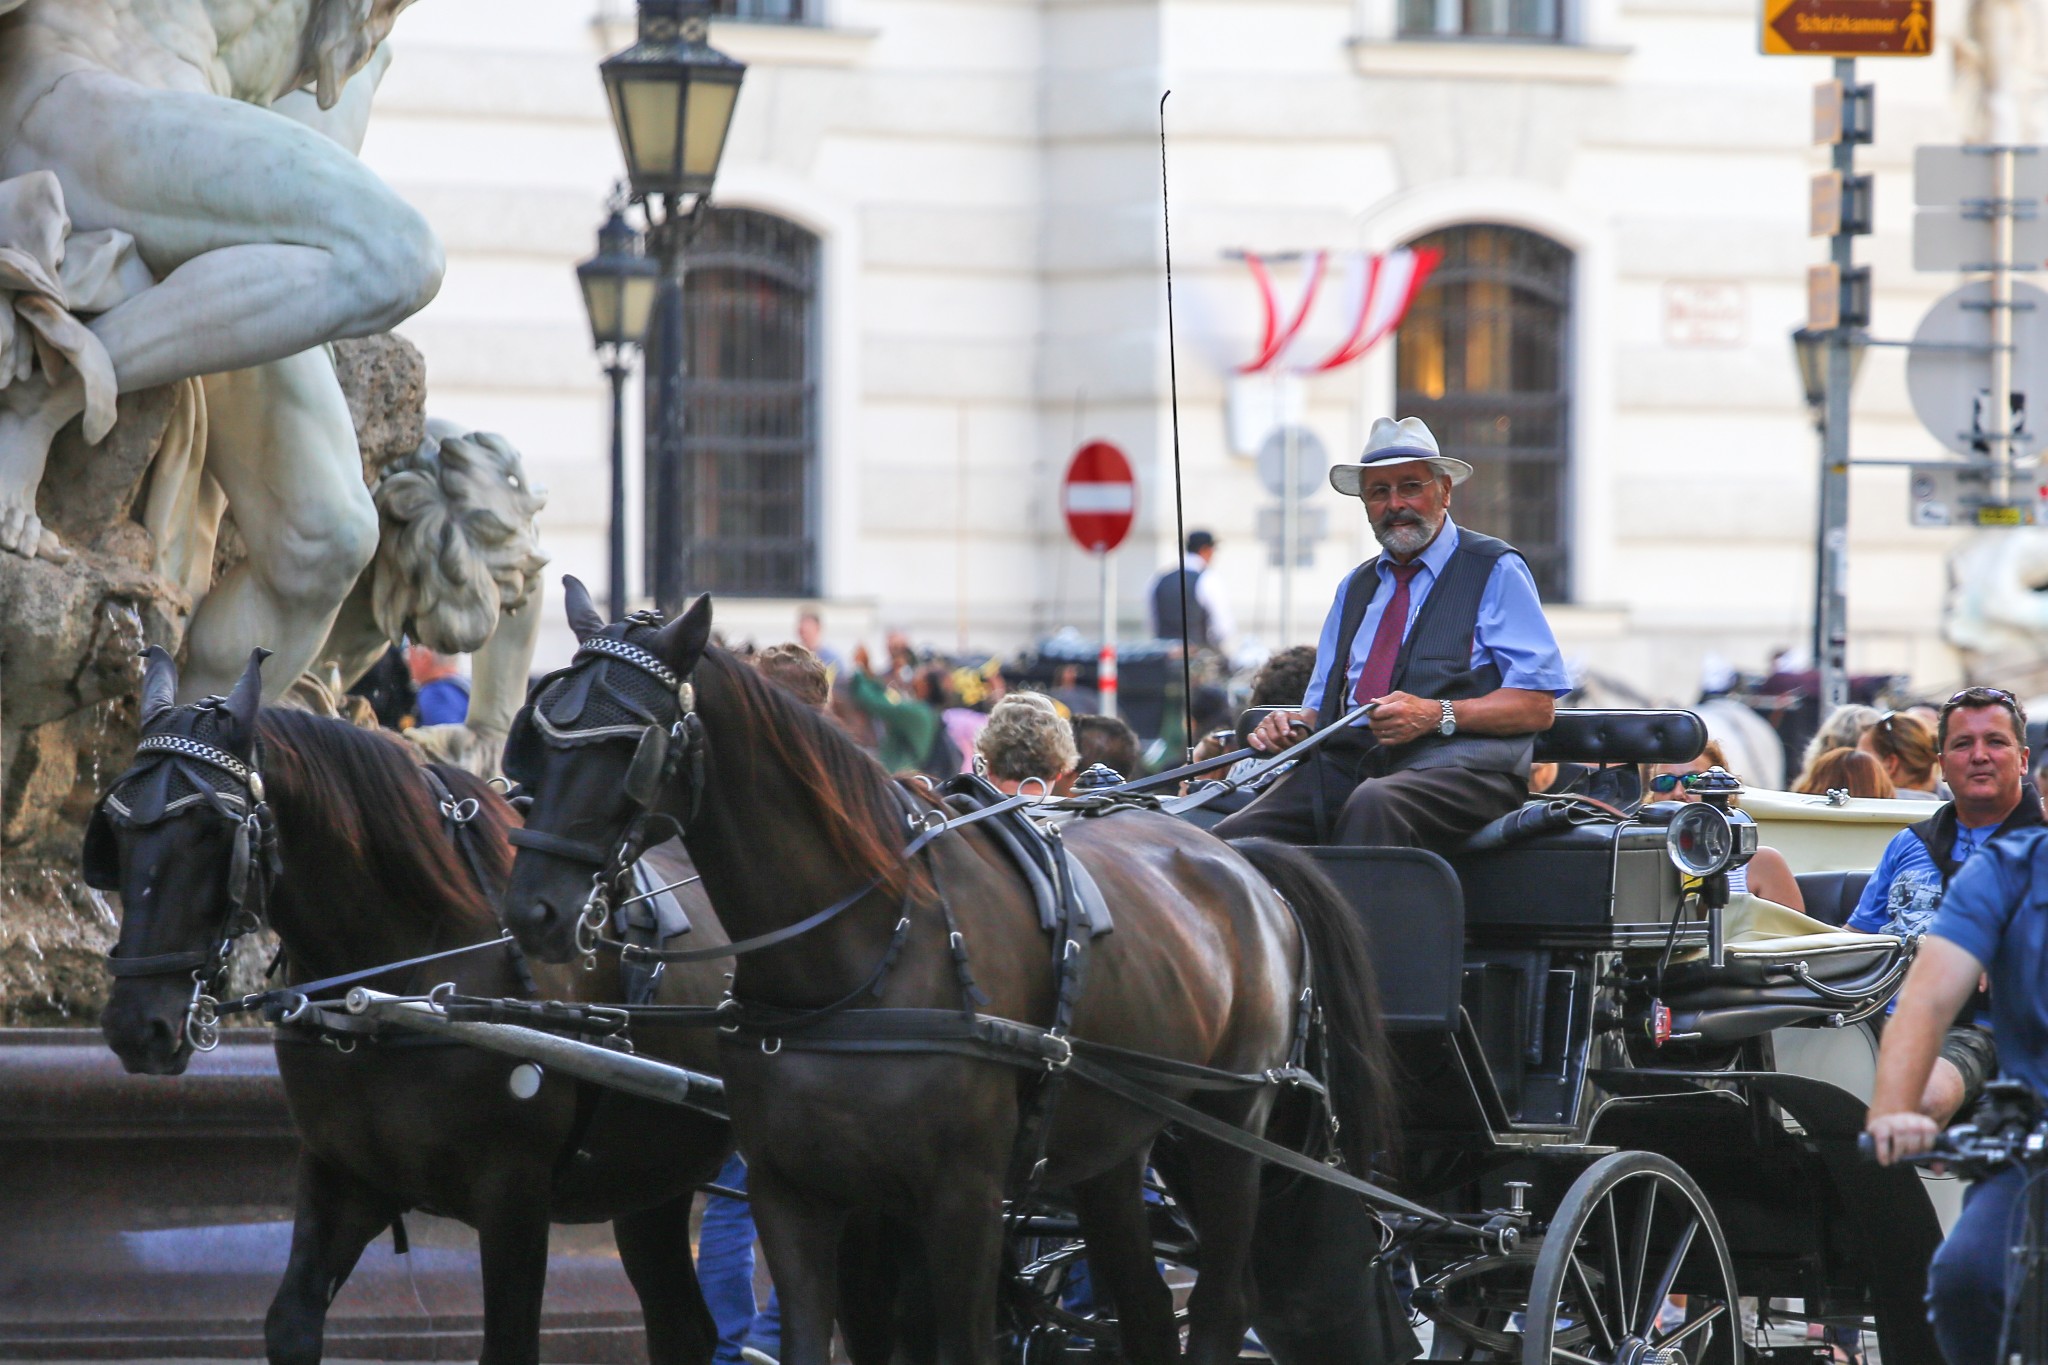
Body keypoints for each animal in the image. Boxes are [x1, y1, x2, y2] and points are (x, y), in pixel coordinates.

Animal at [92, 650, 745, 1365]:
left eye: (215, 831)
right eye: (114, 832)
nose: (136, 1027)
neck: (400, 987)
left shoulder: (514, 1198)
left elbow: (508, 1343)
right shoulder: (342, 1175)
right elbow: (290, 1322)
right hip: (652, 1178)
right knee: (683, 1327)